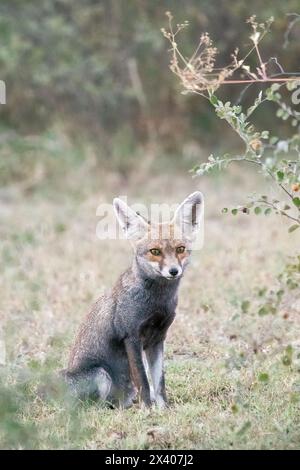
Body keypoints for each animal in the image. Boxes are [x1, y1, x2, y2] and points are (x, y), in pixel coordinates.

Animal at [63, 191, 204, 408]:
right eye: (155, 252)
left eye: (180, 249)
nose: (174, 271)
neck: (157, 303)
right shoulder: (131, 338)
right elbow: (144, 382)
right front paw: (148, 410)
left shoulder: (157, 340)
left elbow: (159, 384)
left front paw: (164, 409)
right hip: (101, 375)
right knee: (95, 408)